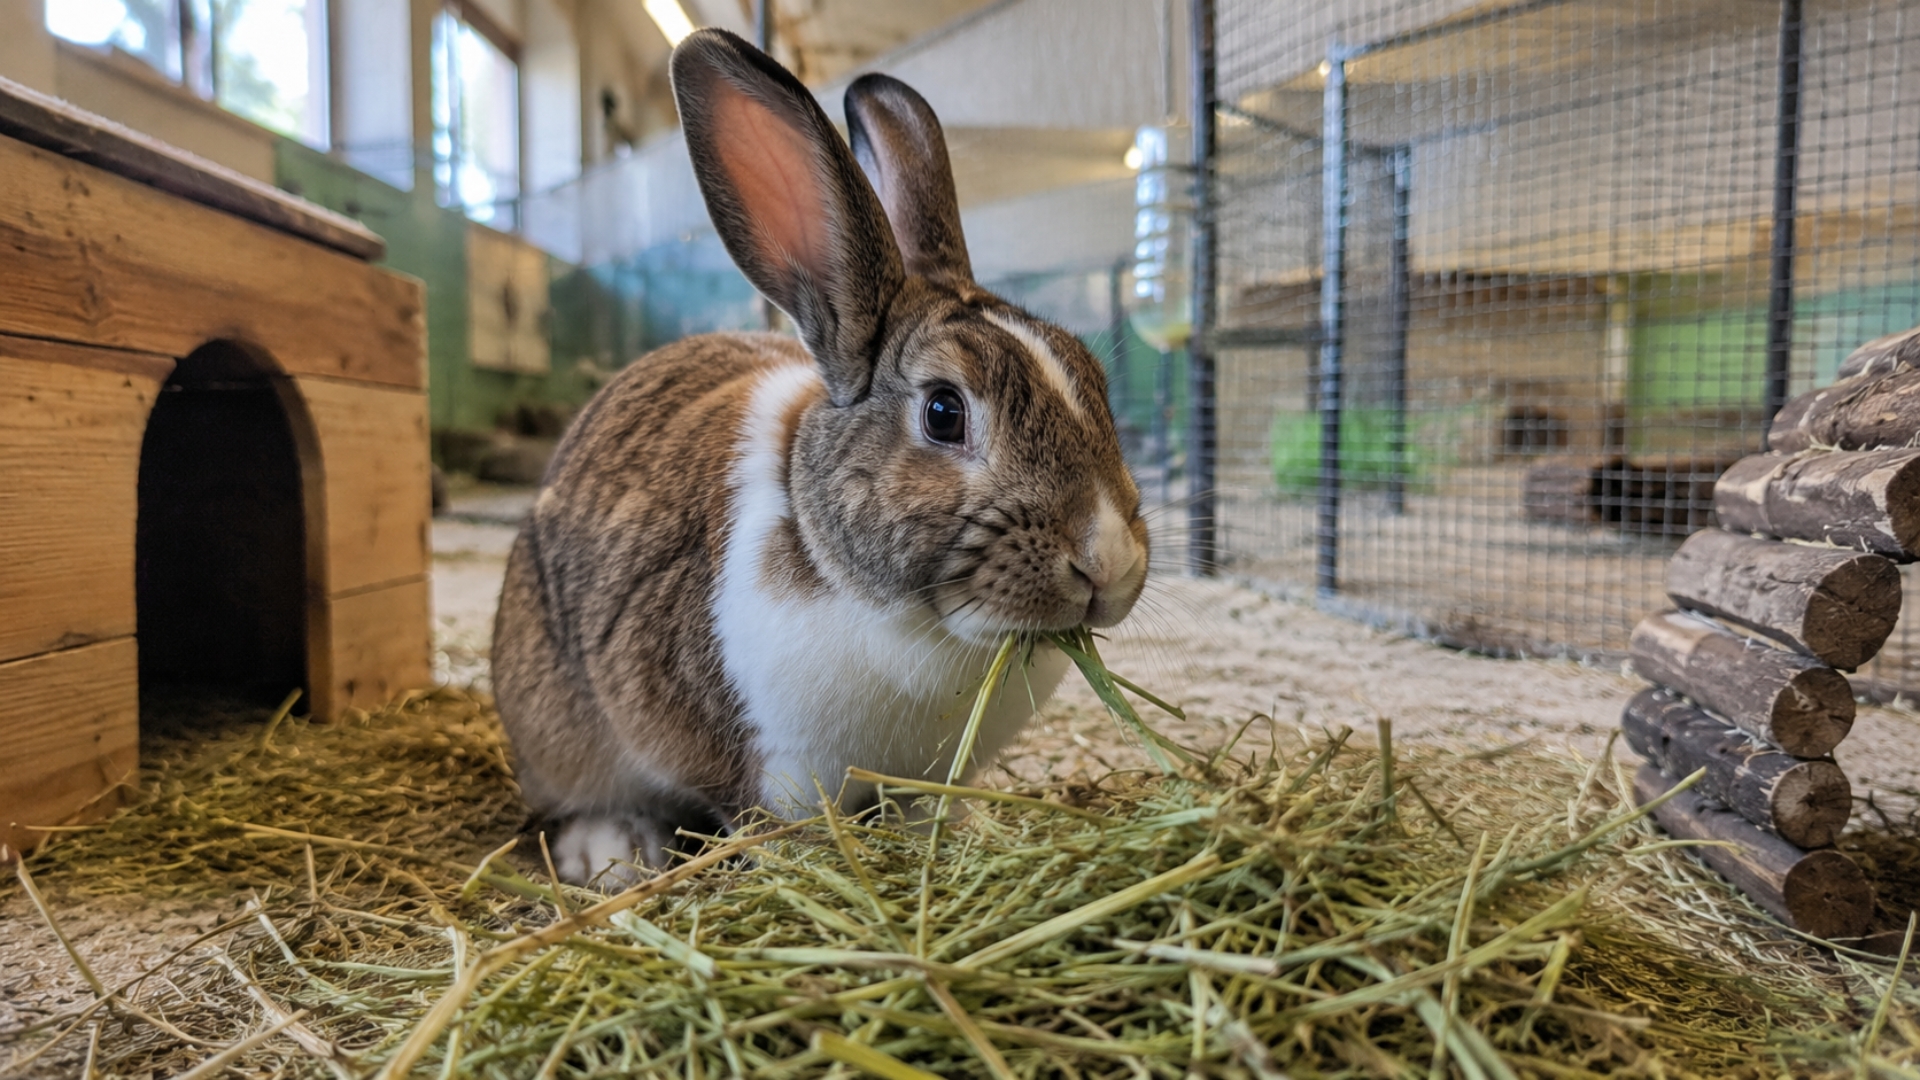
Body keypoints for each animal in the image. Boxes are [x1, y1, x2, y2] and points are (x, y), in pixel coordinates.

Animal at [491, 28, 1150, 885]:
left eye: (1096, 380)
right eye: (944, 413)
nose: (1108, 564)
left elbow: (925, 813)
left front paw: (965, 834)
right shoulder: (778, 763)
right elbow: (780, 823)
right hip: (555, 723)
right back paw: (611, 853)